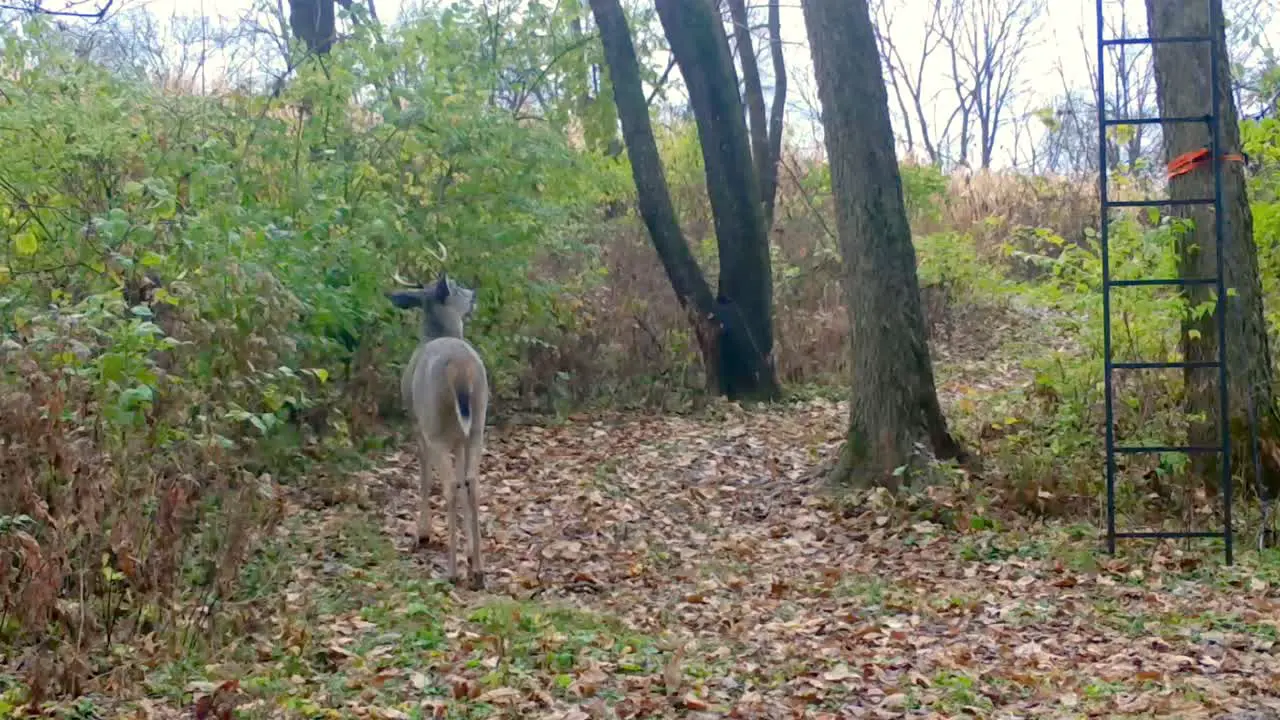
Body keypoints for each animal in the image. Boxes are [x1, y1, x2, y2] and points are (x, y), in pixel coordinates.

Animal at [384, 269, 488, 589]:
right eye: (456, 287)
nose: (474, 294)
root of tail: (460, 369)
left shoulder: (418, 426)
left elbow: (424, 478)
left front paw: (423, 533)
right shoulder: (459, 439)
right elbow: (464, 481)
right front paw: (470, 552)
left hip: (436, 427)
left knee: (451, 485)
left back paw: (452, 572)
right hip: (477, 424)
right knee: (471, 481)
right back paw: (478, 570)